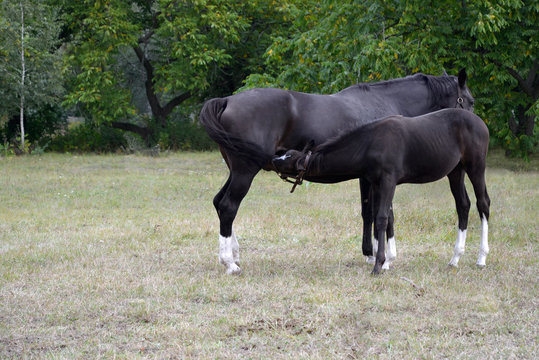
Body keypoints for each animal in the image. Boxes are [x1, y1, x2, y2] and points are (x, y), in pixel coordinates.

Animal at [272, 108, 492, 274]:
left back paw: (481, 258)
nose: (273, 159)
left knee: (483, 203)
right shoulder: (376, 184)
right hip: (455, 172)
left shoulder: (388, 181)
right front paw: (387, 260)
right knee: (463, 205)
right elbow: (387, 218)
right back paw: (455, 258)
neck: (370, 143)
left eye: (289, 159)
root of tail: (480, 122)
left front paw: (378, 265)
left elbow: (381, 218)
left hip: (476, 167)